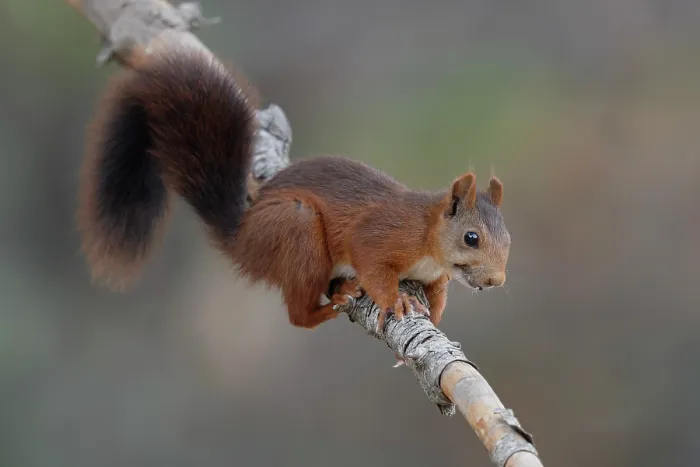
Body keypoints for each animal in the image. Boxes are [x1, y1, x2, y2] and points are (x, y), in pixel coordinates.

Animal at [77, 47, 511, 333]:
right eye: (471, 238)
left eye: (508, 241)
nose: (496, 282)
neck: (428, 235)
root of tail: (241, 240)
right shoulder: (383, 234)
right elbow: (371, 261)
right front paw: (397, 300)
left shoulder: (436, 275)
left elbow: (438, 294)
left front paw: (433, 314)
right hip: (296, 229)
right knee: (298, 315)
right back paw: (332, 302)